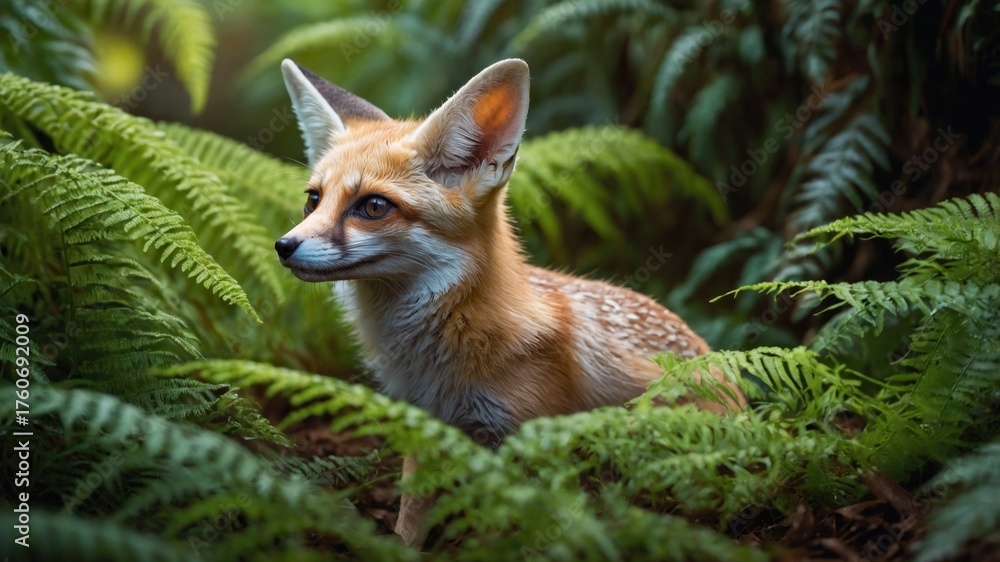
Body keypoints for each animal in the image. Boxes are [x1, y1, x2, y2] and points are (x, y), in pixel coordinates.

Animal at [274, 58, 745, 544]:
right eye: (314, 200)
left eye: (372, 207)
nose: (283, 246)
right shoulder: (426, 427)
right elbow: (411, 519)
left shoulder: (524, 438)